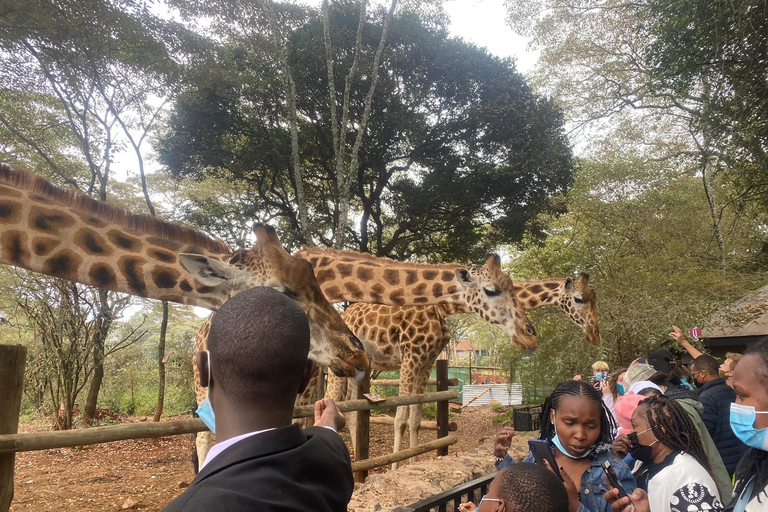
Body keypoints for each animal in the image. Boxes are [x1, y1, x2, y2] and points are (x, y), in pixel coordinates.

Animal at [324, 274, 600, 466]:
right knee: (329, 400)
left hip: (358, 368)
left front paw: (414, 461)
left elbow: (415, 418)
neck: (443, 308)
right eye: (579, 299)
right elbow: (401, 417)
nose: (595, 334)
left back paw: (358, 462)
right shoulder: (411, 356)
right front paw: (394, 467)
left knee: (350, 410)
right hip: (336, 362)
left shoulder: (426, 361)